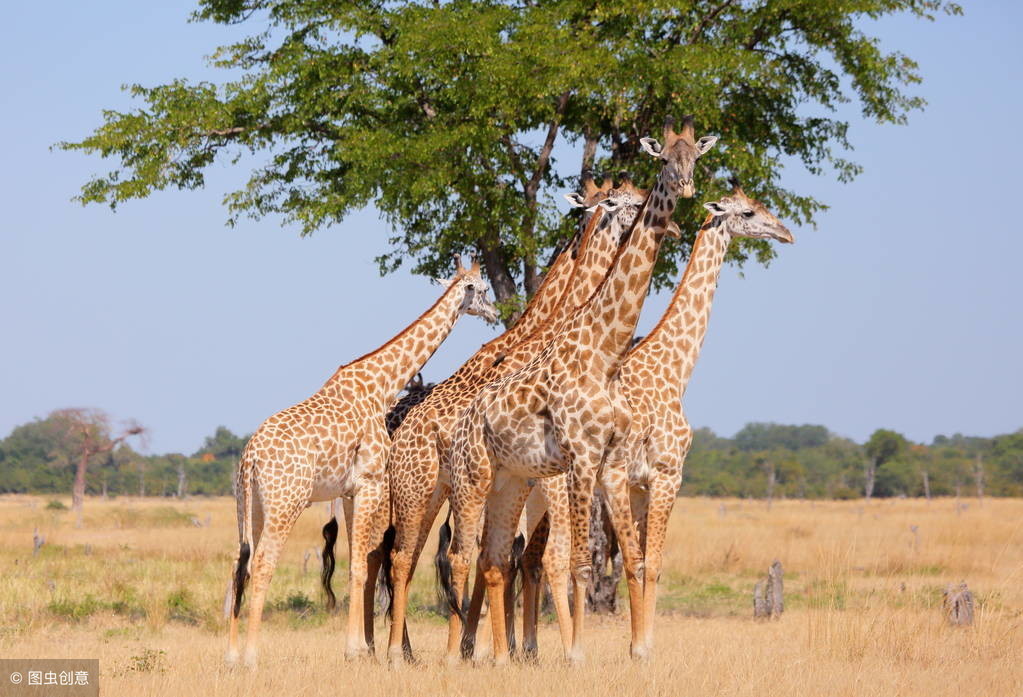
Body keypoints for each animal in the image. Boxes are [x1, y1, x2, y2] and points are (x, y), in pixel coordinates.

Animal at [225, 253, 499, 663]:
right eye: (481, 289)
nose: (495, 313)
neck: (380, 385)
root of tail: (249, 460)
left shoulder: (351, 491)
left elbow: (358, 565)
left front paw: (357, 648)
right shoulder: (370, 482)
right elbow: (358, 566)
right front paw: (357, 650)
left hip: (250, 506)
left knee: (237, 565)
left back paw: (230, 657)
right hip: (285, 503)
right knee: (261, 564)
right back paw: (251, 658)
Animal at [384, 175, 638, 663]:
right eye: (614, 203)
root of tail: (401, 425)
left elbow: (510, 558)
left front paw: (508, 648)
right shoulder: (543, 479)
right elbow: (527, 558)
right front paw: (521, 649)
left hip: (436, 490)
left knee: (413, 554)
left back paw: (402, 647)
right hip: (419, 488)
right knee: (407, 555)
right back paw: (400, 650)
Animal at [443, 115, 716, 663]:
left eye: (696, 157)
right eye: (662, 159)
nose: (685, 191)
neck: (603, 354)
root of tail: (460, 424)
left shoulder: (610, 460)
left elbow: (615, 557)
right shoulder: (583, 458)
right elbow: (579, 564)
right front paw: (576, 656)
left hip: (509, 482)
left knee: (494, 556)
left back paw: (497, 656)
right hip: (472, 477)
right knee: (459, 554)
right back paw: (449, 654)